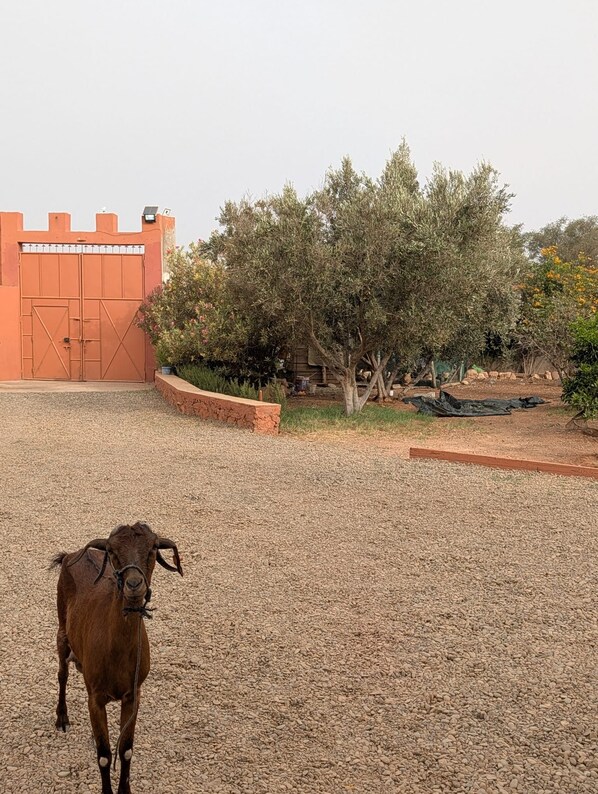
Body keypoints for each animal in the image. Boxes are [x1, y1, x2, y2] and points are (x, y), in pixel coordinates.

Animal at [50, 522, 183, 794]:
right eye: (111, 551)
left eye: (154, 547)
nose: (134, 584)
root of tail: (70, 555)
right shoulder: (95, 696)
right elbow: (104, 755)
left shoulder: (133, 694)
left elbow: (126, 750)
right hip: (61, 628)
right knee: (62, 674)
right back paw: (62, 717)